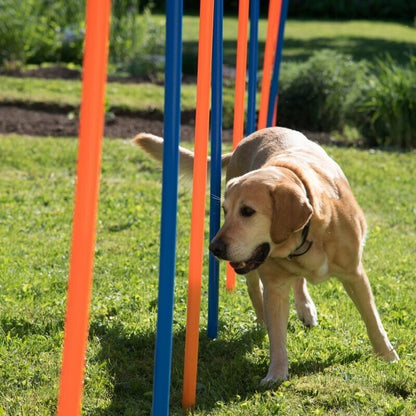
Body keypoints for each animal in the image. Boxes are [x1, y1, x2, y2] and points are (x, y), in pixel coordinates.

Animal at [134, 127, 400, 386]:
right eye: (225, 211)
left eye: (247, 211)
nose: (214, 248)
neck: (306, 234)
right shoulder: (274, 287)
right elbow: (278, 337)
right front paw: (277, 373)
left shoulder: (355, 275)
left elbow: (373, 320)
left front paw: (387, 356)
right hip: (253, 271)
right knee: (257, 293)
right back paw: (265, 323)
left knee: (299, 283)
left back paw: (306, 308)